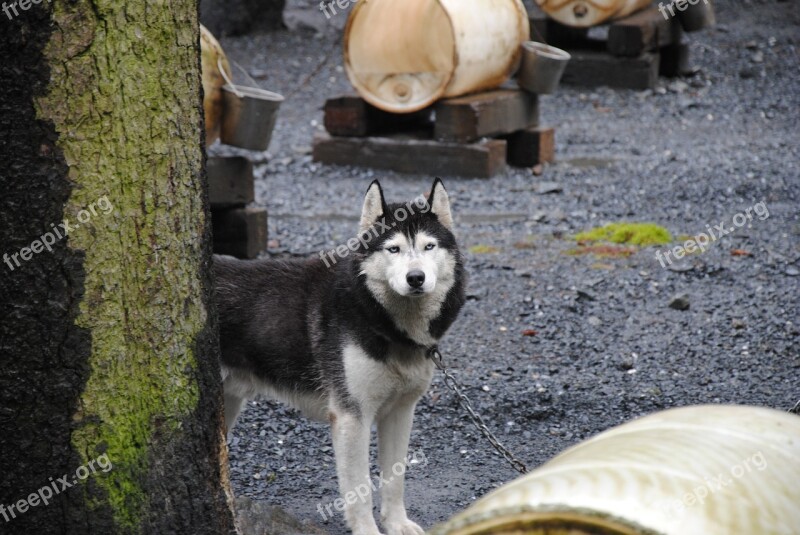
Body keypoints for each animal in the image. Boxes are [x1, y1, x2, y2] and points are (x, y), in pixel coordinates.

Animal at [216, 178, 466, 532]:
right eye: (393, 249)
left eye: (429, 247)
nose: (415, 278)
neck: (386, 324)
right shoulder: (351, 417)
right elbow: (359, 490)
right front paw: (368, 531)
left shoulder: (400, 412)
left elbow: (394, 479)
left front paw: (396, 524)